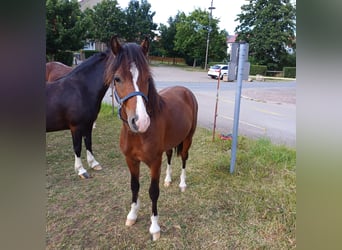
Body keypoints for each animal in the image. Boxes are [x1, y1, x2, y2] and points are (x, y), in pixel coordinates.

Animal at [105, 36, 199, 241]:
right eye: (117, 79)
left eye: (147, 78)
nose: (140, 121)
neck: (137, 135)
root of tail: (186, 90)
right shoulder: (131, 160)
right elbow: (134, 186)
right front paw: (132, 215)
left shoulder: (154, 162)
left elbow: (153, 192)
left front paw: (155, 228)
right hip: (170, 143)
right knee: (170, 156)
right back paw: (168, 179)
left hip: (188, 139)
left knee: (184, 159)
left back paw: (182, 184)